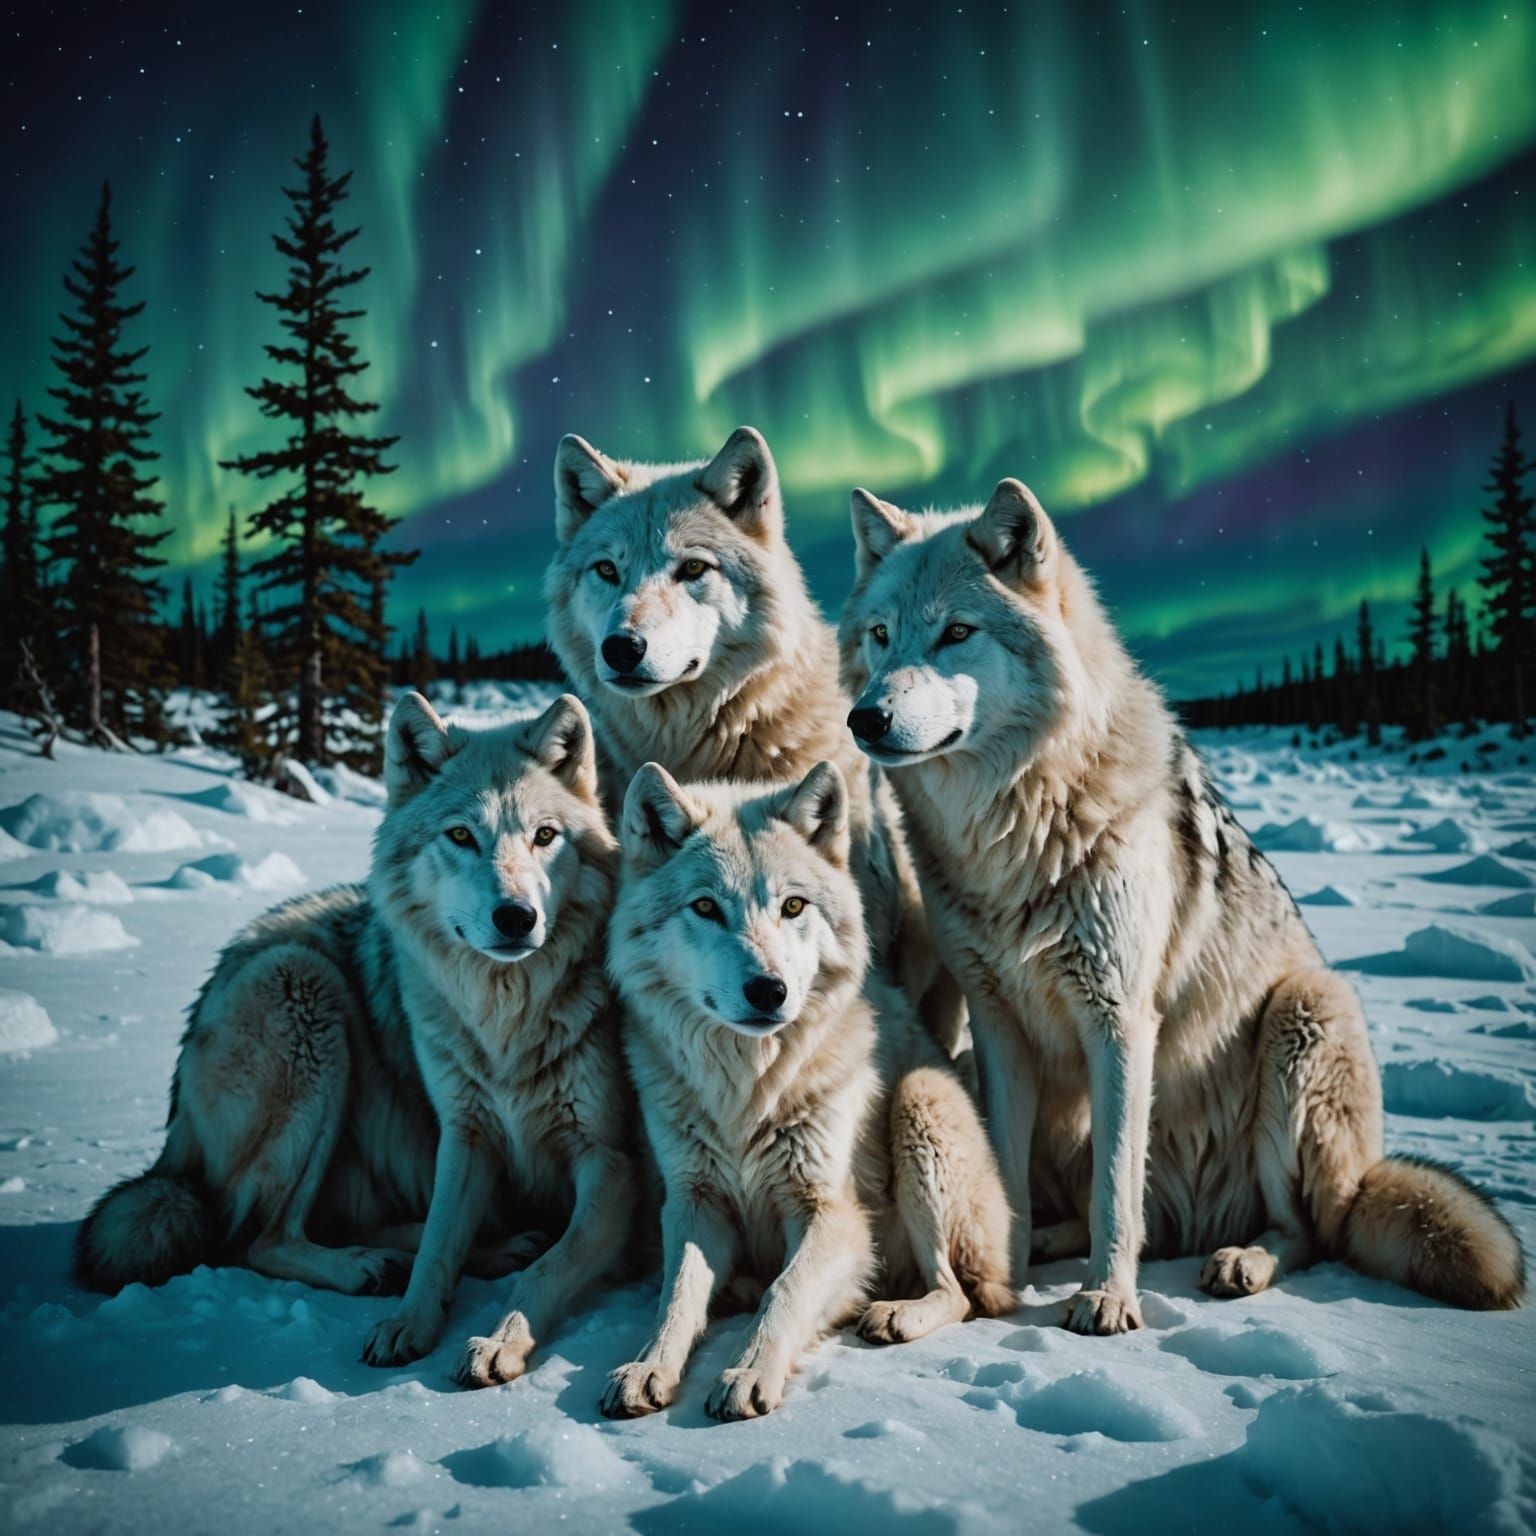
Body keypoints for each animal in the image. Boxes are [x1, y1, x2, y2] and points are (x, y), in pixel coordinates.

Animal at [76, 693, 636, 1383]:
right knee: (258, 1238)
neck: (506, 1019)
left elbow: (546, 1266)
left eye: (545, 836)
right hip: (303, 992)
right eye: (460, 835)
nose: (516, 917)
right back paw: (380, 1266)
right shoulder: (465, 1134)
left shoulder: (609, 1162)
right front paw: (409, 1322)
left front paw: (499, 1339)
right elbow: (438, 1248)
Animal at [601, 759, 1012, 1421]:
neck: (748, 1086)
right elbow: (675, 1296)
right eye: (705, 907)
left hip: (921, 1100)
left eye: (793, 905)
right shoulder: (694, 1202)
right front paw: (648, 1367)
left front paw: (747, 1372)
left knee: (962, 1293)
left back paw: (893, 1314)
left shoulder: (832, 1213)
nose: (769, 990)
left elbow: (785, 1292)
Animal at [838, 477, 1525, 1332]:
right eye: (880, 637)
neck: (1013, 831)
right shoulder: (996, 1028)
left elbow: (1114, 1188)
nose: (864, 718)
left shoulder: (1121, 1018)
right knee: (1131, 1216)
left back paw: (1241, 1260)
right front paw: (1005, 1284)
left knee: (1305, 1230)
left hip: (1306, 1013)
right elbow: (1009, 1182)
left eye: (956, 633)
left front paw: (1107, 1299)